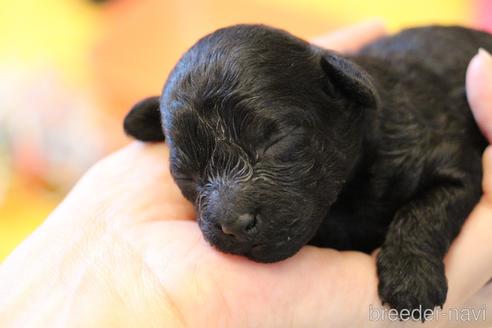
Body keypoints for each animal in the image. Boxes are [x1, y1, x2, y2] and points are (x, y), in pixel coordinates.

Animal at [123, 25, 492, 318]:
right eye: (186, 173)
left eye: (277, 140)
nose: (232, 225)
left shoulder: (452, 162)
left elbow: (425, 210)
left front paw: (410, 278)